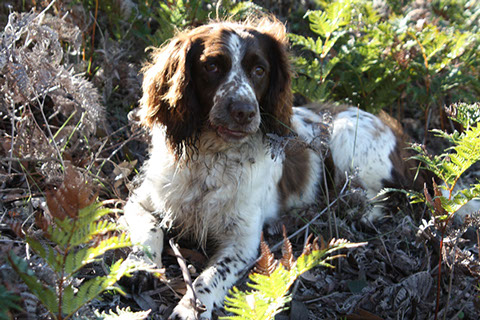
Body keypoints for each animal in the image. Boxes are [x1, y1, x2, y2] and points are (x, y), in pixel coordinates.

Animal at [123, 18, 424, 320]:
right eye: (212, 66)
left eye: (260, 70)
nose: (244, 111)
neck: (212, 156)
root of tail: (400, 135)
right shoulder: (140, 200)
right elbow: (150, 228)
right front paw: (138, 266)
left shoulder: (242, 241)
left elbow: (209, 277)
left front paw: (192, 308)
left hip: (346, 136)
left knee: (374, 203)